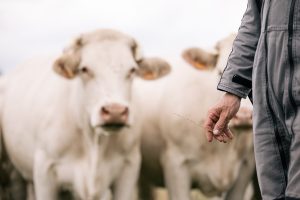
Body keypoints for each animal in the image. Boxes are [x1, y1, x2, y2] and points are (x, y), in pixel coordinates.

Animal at [0, 28, 171, 199]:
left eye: (132, 70)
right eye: (84, 69)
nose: (115, 111)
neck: (94, 142)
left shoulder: (129, 169)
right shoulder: (45, 172)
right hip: (14, 172)